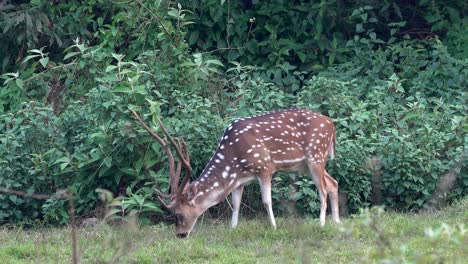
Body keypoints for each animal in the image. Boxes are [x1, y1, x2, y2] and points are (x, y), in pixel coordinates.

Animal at [132, 108, 340, 238]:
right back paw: (337, 221)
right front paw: (232, 229)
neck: (234, 159)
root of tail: (331, 124)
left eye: (180, 214)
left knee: (322, 189)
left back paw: (321, 223)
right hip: (305, 165)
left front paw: (274, 227)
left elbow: (266, 201)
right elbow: (235, 204)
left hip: (316, 155)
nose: (180, 235)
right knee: (333, 183)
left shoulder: (264, 167)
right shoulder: (240, 180)